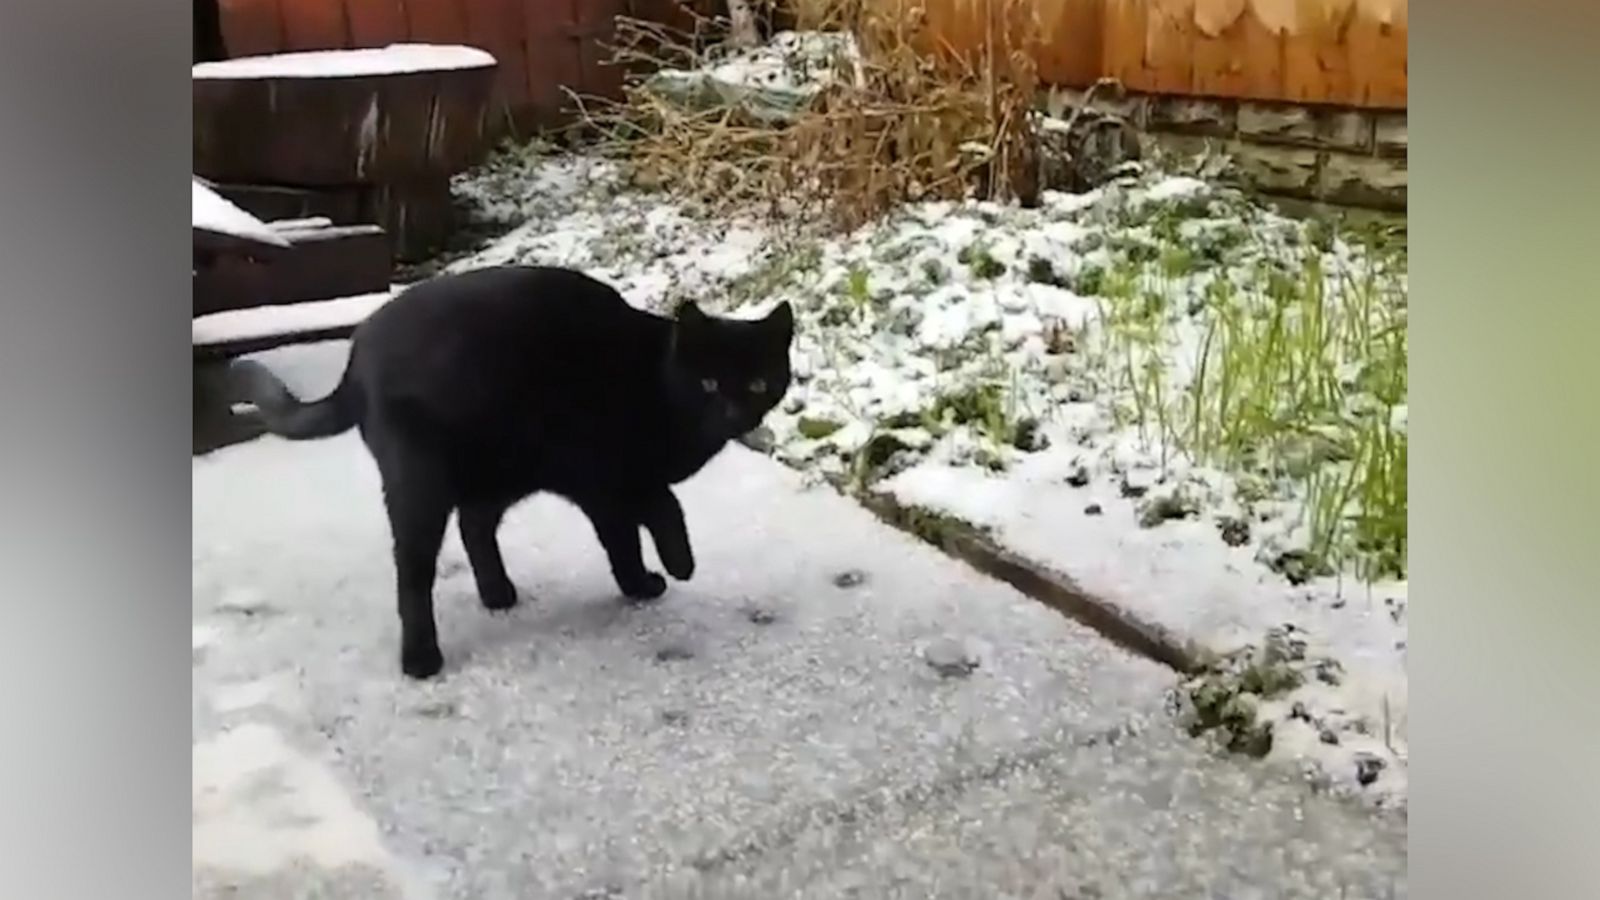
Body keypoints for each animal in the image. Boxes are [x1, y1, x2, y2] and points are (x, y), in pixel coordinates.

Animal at [230, 262, 793, 675]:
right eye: (709, 383)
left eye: (759, 383)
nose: (735, 413)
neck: (658, 381)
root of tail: (359, 348)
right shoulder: (600, 473)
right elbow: (648, 516)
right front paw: (666, 570)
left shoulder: (600, 480)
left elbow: (637, 518)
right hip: (425, 483)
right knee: (413, 571)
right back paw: (421, 658)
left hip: (501, 468)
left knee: (474, 525)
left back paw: (497, 594)